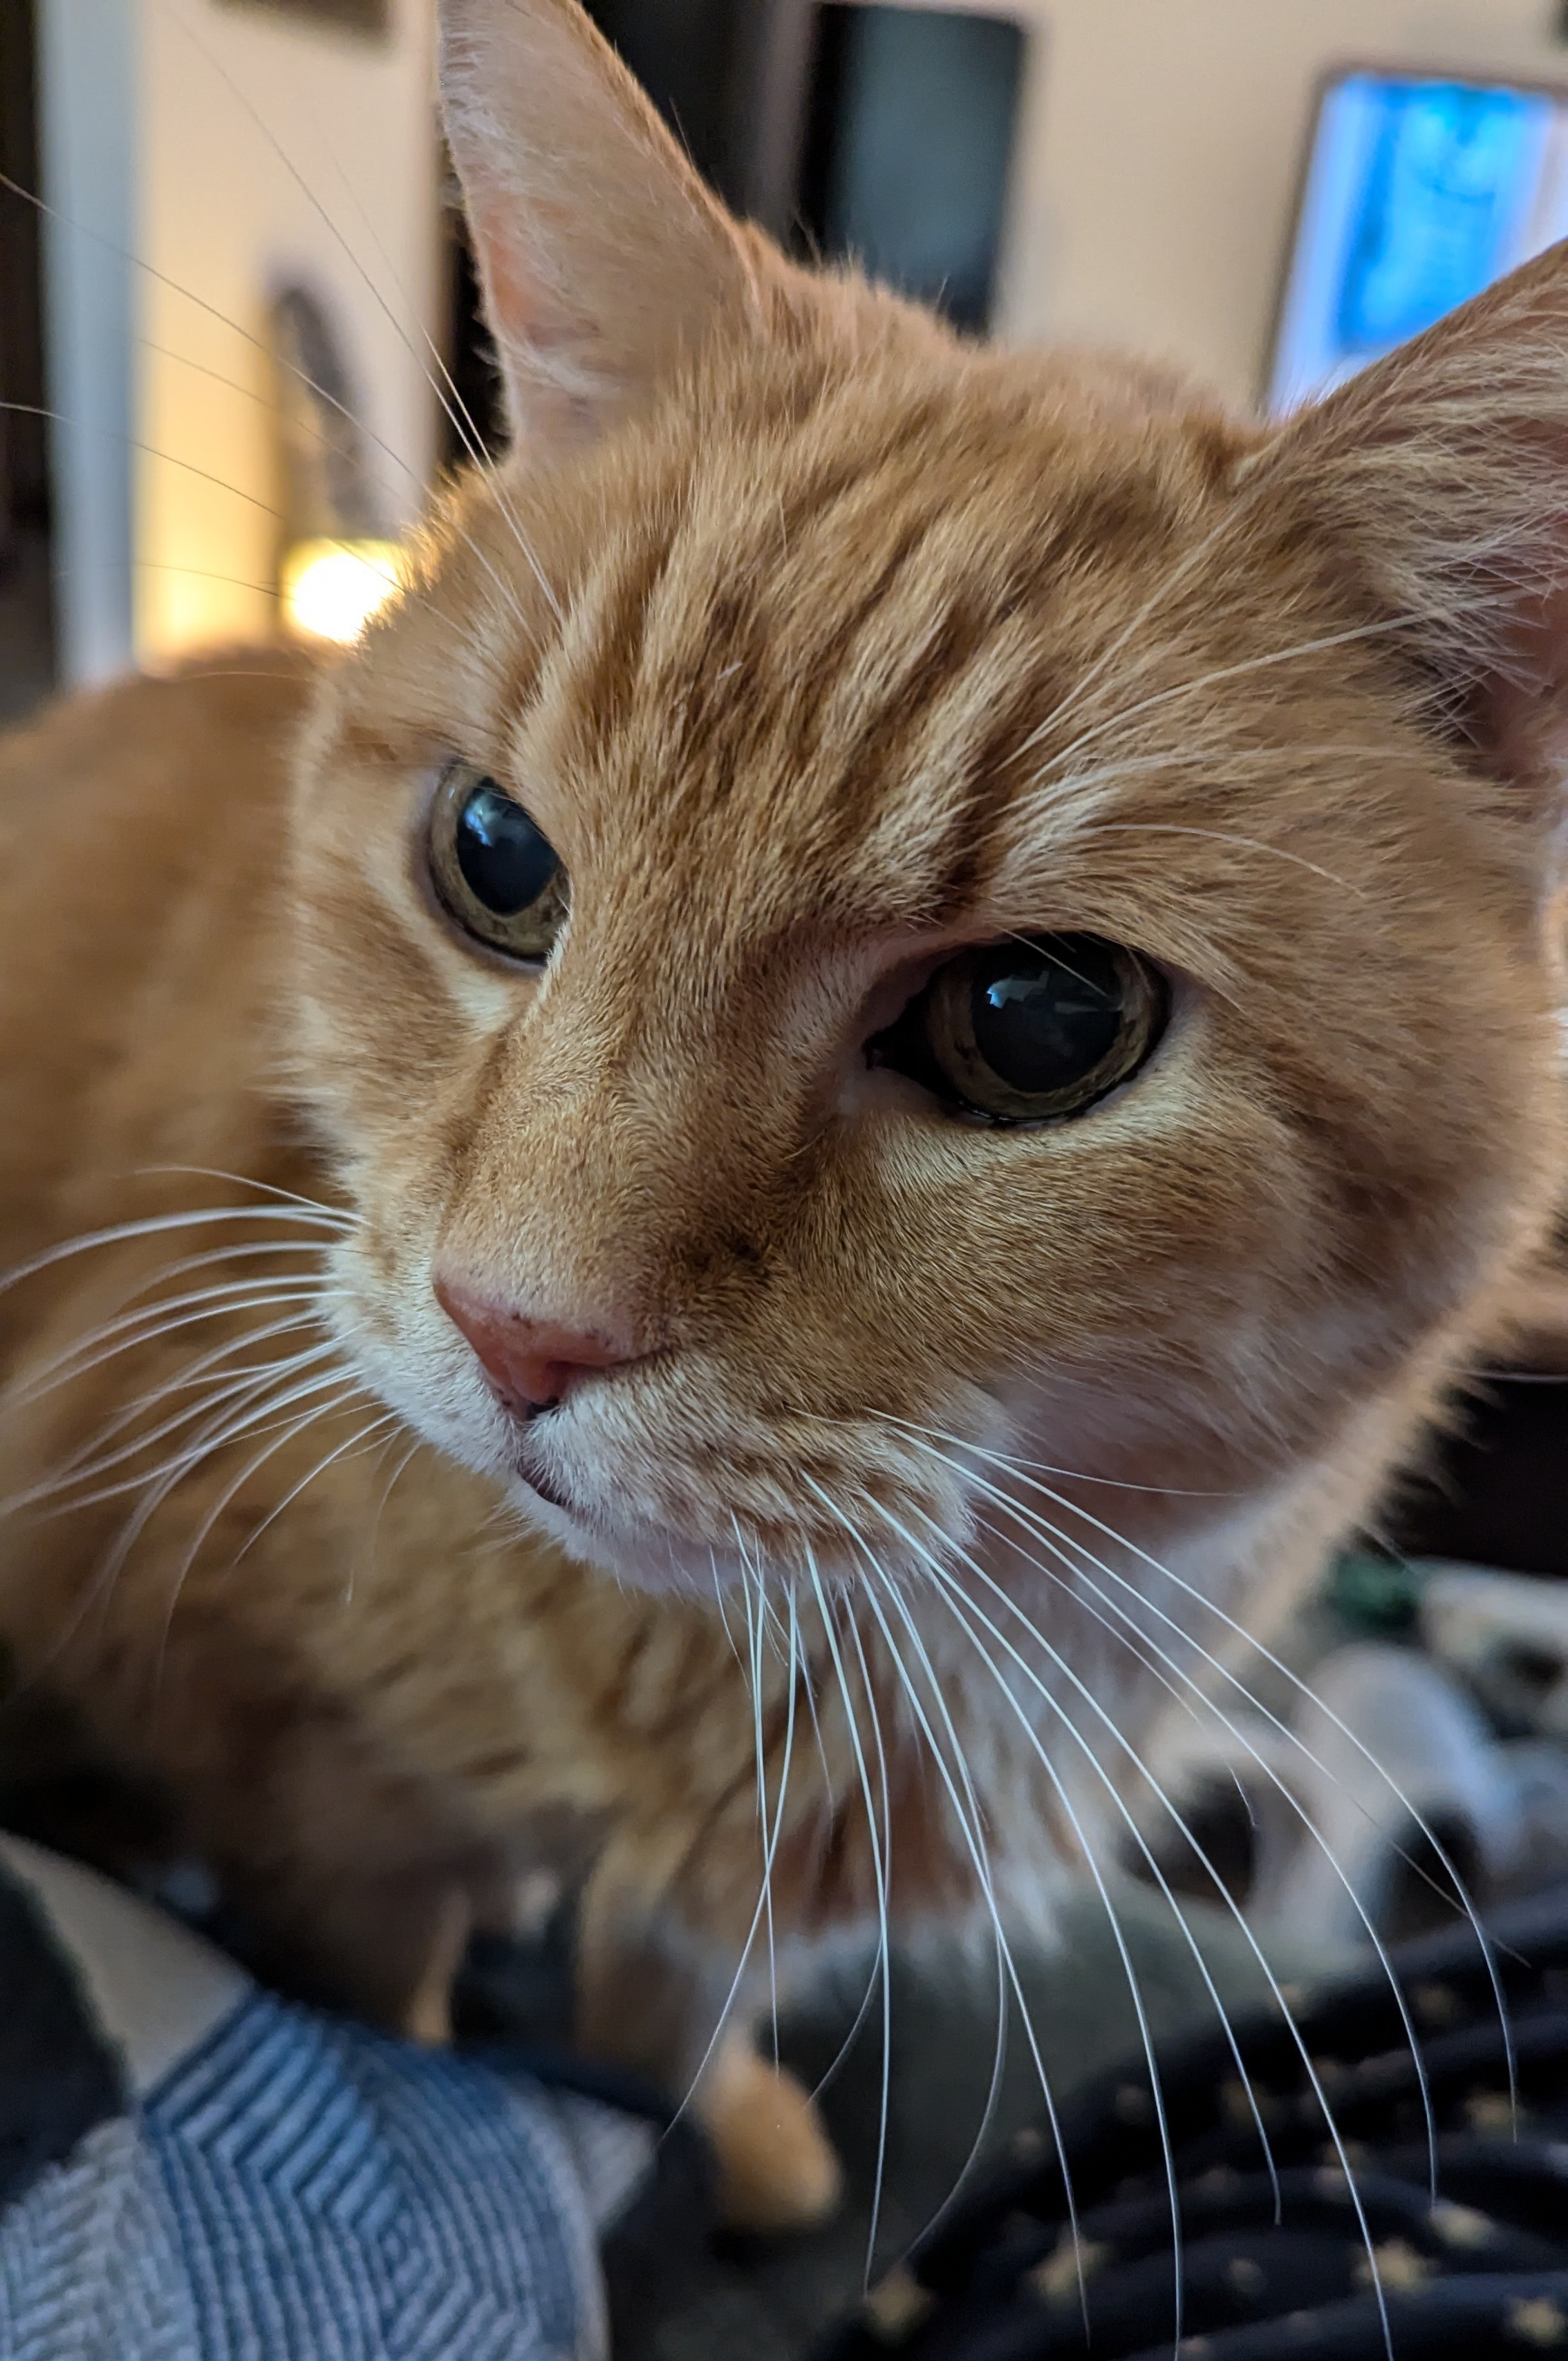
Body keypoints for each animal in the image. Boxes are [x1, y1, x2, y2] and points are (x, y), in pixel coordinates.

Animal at [2, 0, 1567, 2232]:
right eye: (494, 857)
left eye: (1034, 1019)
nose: (516, 1331)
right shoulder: (300, 1792)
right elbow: (398, 2039)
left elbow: (669, 2013)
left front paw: (713, 2132)